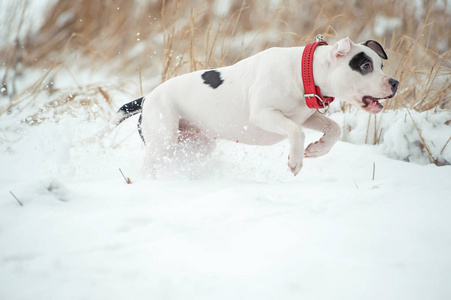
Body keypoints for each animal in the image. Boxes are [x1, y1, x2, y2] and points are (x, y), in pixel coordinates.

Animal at [97, 37, 398, 176]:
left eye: (381, 65)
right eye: (365, 65)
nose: (394, 82)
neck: (305, 71)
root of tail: (147, 98)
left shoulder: (304, 115)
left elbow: (333, 129)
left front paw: (316, 149)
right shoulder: (265, 114)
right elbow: (296, 133)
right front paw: (295, 160)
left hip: (195, 144)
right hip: (163, 140)